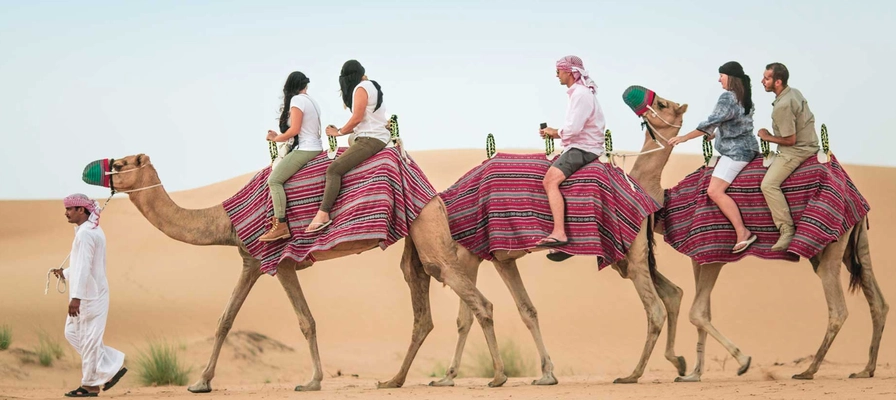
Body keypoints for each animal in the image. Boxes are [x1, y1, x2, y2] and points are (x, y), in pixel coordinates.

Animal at [102, 153, 510, 392]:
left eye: (120, 165)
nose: (98, 170)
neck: (224, 220)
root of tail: (432, 191)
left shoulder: (275, 261)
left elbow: (300, 320)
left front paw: (311, 380)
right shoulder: (257, 262)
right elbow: (229, 319)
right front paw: (202, 381)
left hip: (427, 230)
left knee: (479, 301)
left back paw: (498, 376)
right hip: (417, 236)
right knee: (422, 307)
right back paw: (394, 380)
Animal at [431, 92, 691, 386]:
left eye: (661, 104)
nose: (641, 101)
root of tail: (644, 198)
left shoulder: (470, 253)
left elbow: (466, 317)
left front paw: (455, 377)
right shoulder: (501, 257)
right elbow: (526, 310)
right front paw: (546, 373)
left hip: (630, 253)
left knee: (655, 309)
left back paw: (632, 375)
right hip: (629, 257)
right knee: (672, 293)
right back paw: (677, 363)